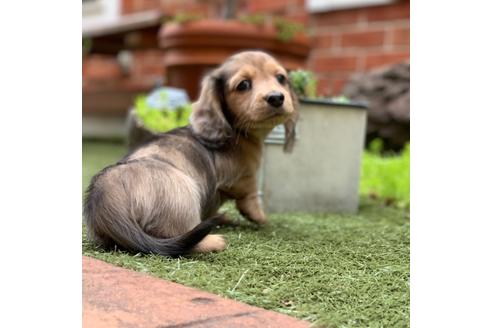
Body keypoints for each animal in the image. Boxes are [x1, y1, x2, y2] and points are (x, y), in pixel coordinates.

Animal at [84, 51, 298, 256]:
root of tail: (106, 200)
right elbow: (251, 193)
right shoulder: (241, 177)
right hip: (185, 193)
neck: (236, 131)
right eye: (243, 84)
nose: (277, 97)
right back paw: (213, 241)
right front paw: (261, 217)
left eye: (281, 78)